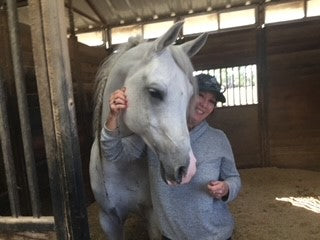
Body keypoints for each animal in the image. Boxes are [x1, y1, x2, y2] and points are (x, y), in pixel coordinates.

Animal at [89, 21, 208, 239]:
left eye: (190, 96)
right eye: (154, 92)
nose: (187, 169)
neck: (121, 166)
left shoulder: (153, 217)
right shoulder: (108, 219)